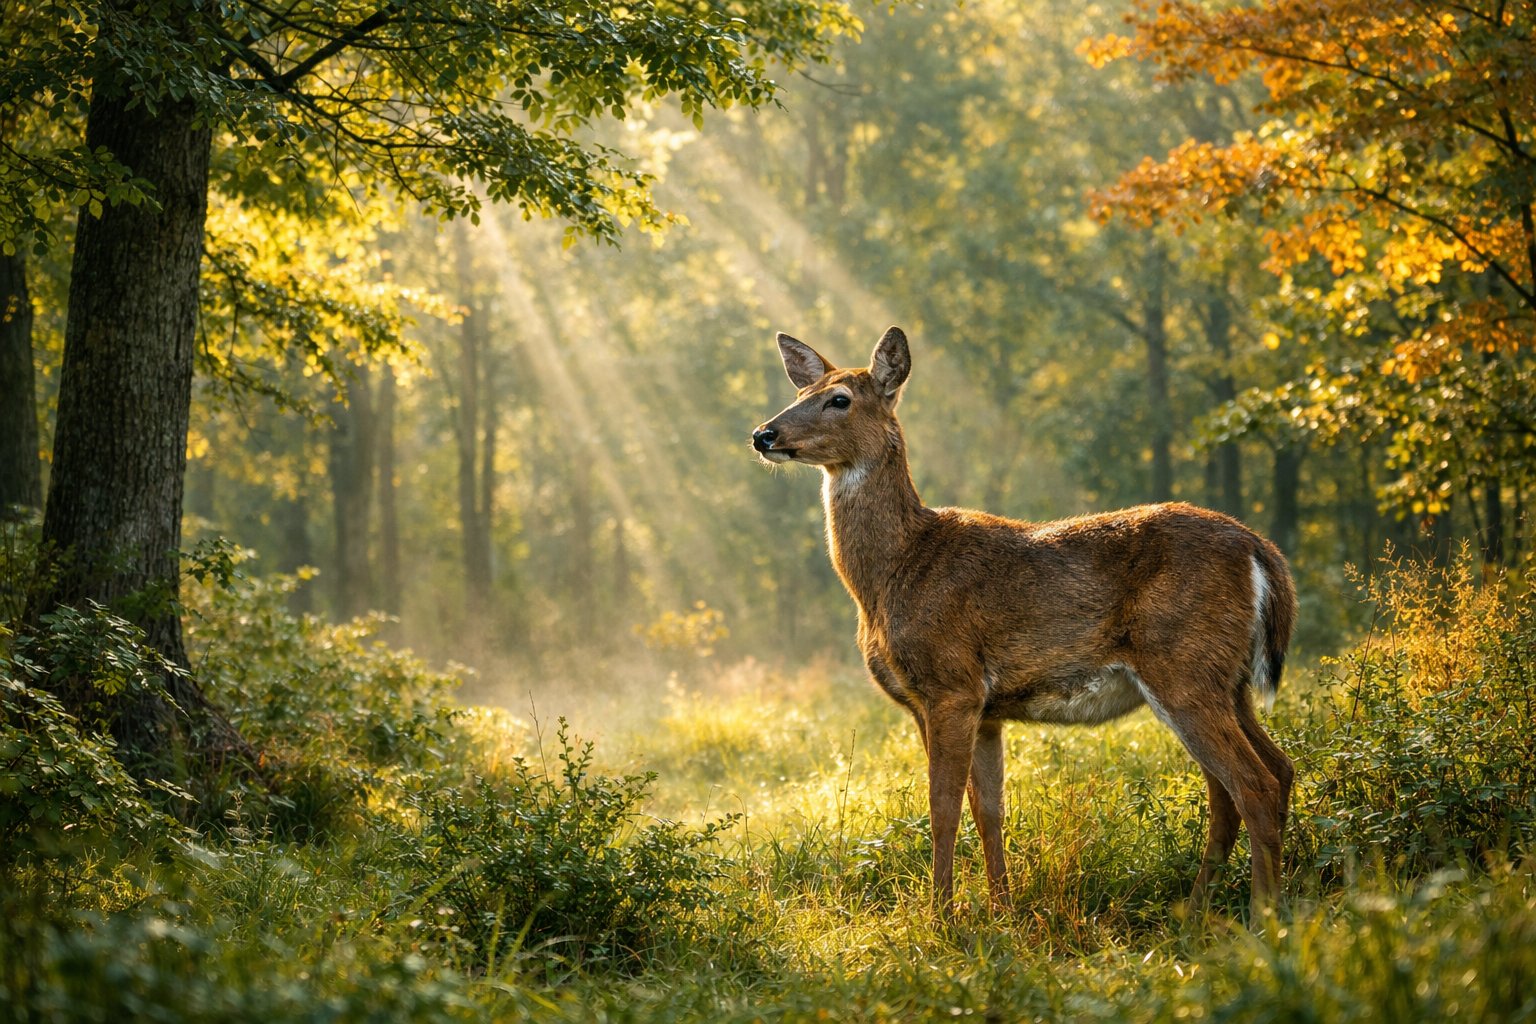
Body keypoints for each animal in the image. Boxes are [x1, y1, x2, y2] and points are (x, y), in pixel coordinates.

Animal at [751, 325, 1297, 921]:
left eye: (840, 399)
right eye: (802, 392)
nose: (764, 433)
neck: (893, 573)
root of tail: (1259, 549)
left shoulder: (952, 685)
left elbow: (942, 808)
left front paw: (942, 917)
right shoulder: (976, 709)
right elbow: (988, 809)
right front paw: (1002, 911)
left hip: (1184, 668)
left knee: (1253, 785)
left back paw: (1263, 917)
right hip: (1227, 680)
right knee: (1267, 774)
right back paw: (1210, 911)